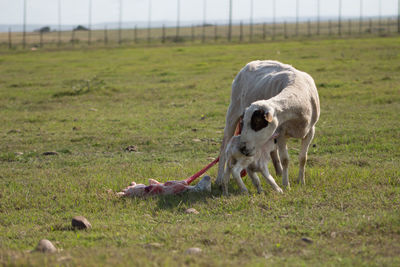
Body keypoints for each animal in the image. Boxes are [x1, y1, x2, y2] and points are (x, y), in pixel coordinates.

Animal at [217, 59, 320, 189]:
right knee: (223, 147)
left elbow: (303, 158)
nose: (243, 148)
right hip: (232, 112)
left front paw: (301, 181)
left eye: (257, 122)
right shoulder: (281, 133)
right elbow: (285, 159)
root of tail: (251, 63)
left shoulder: (310, 131)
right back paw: (219, 179)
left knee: (273, 151)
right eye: (244, 123)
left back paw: (279, 172)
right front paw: (286, 184)